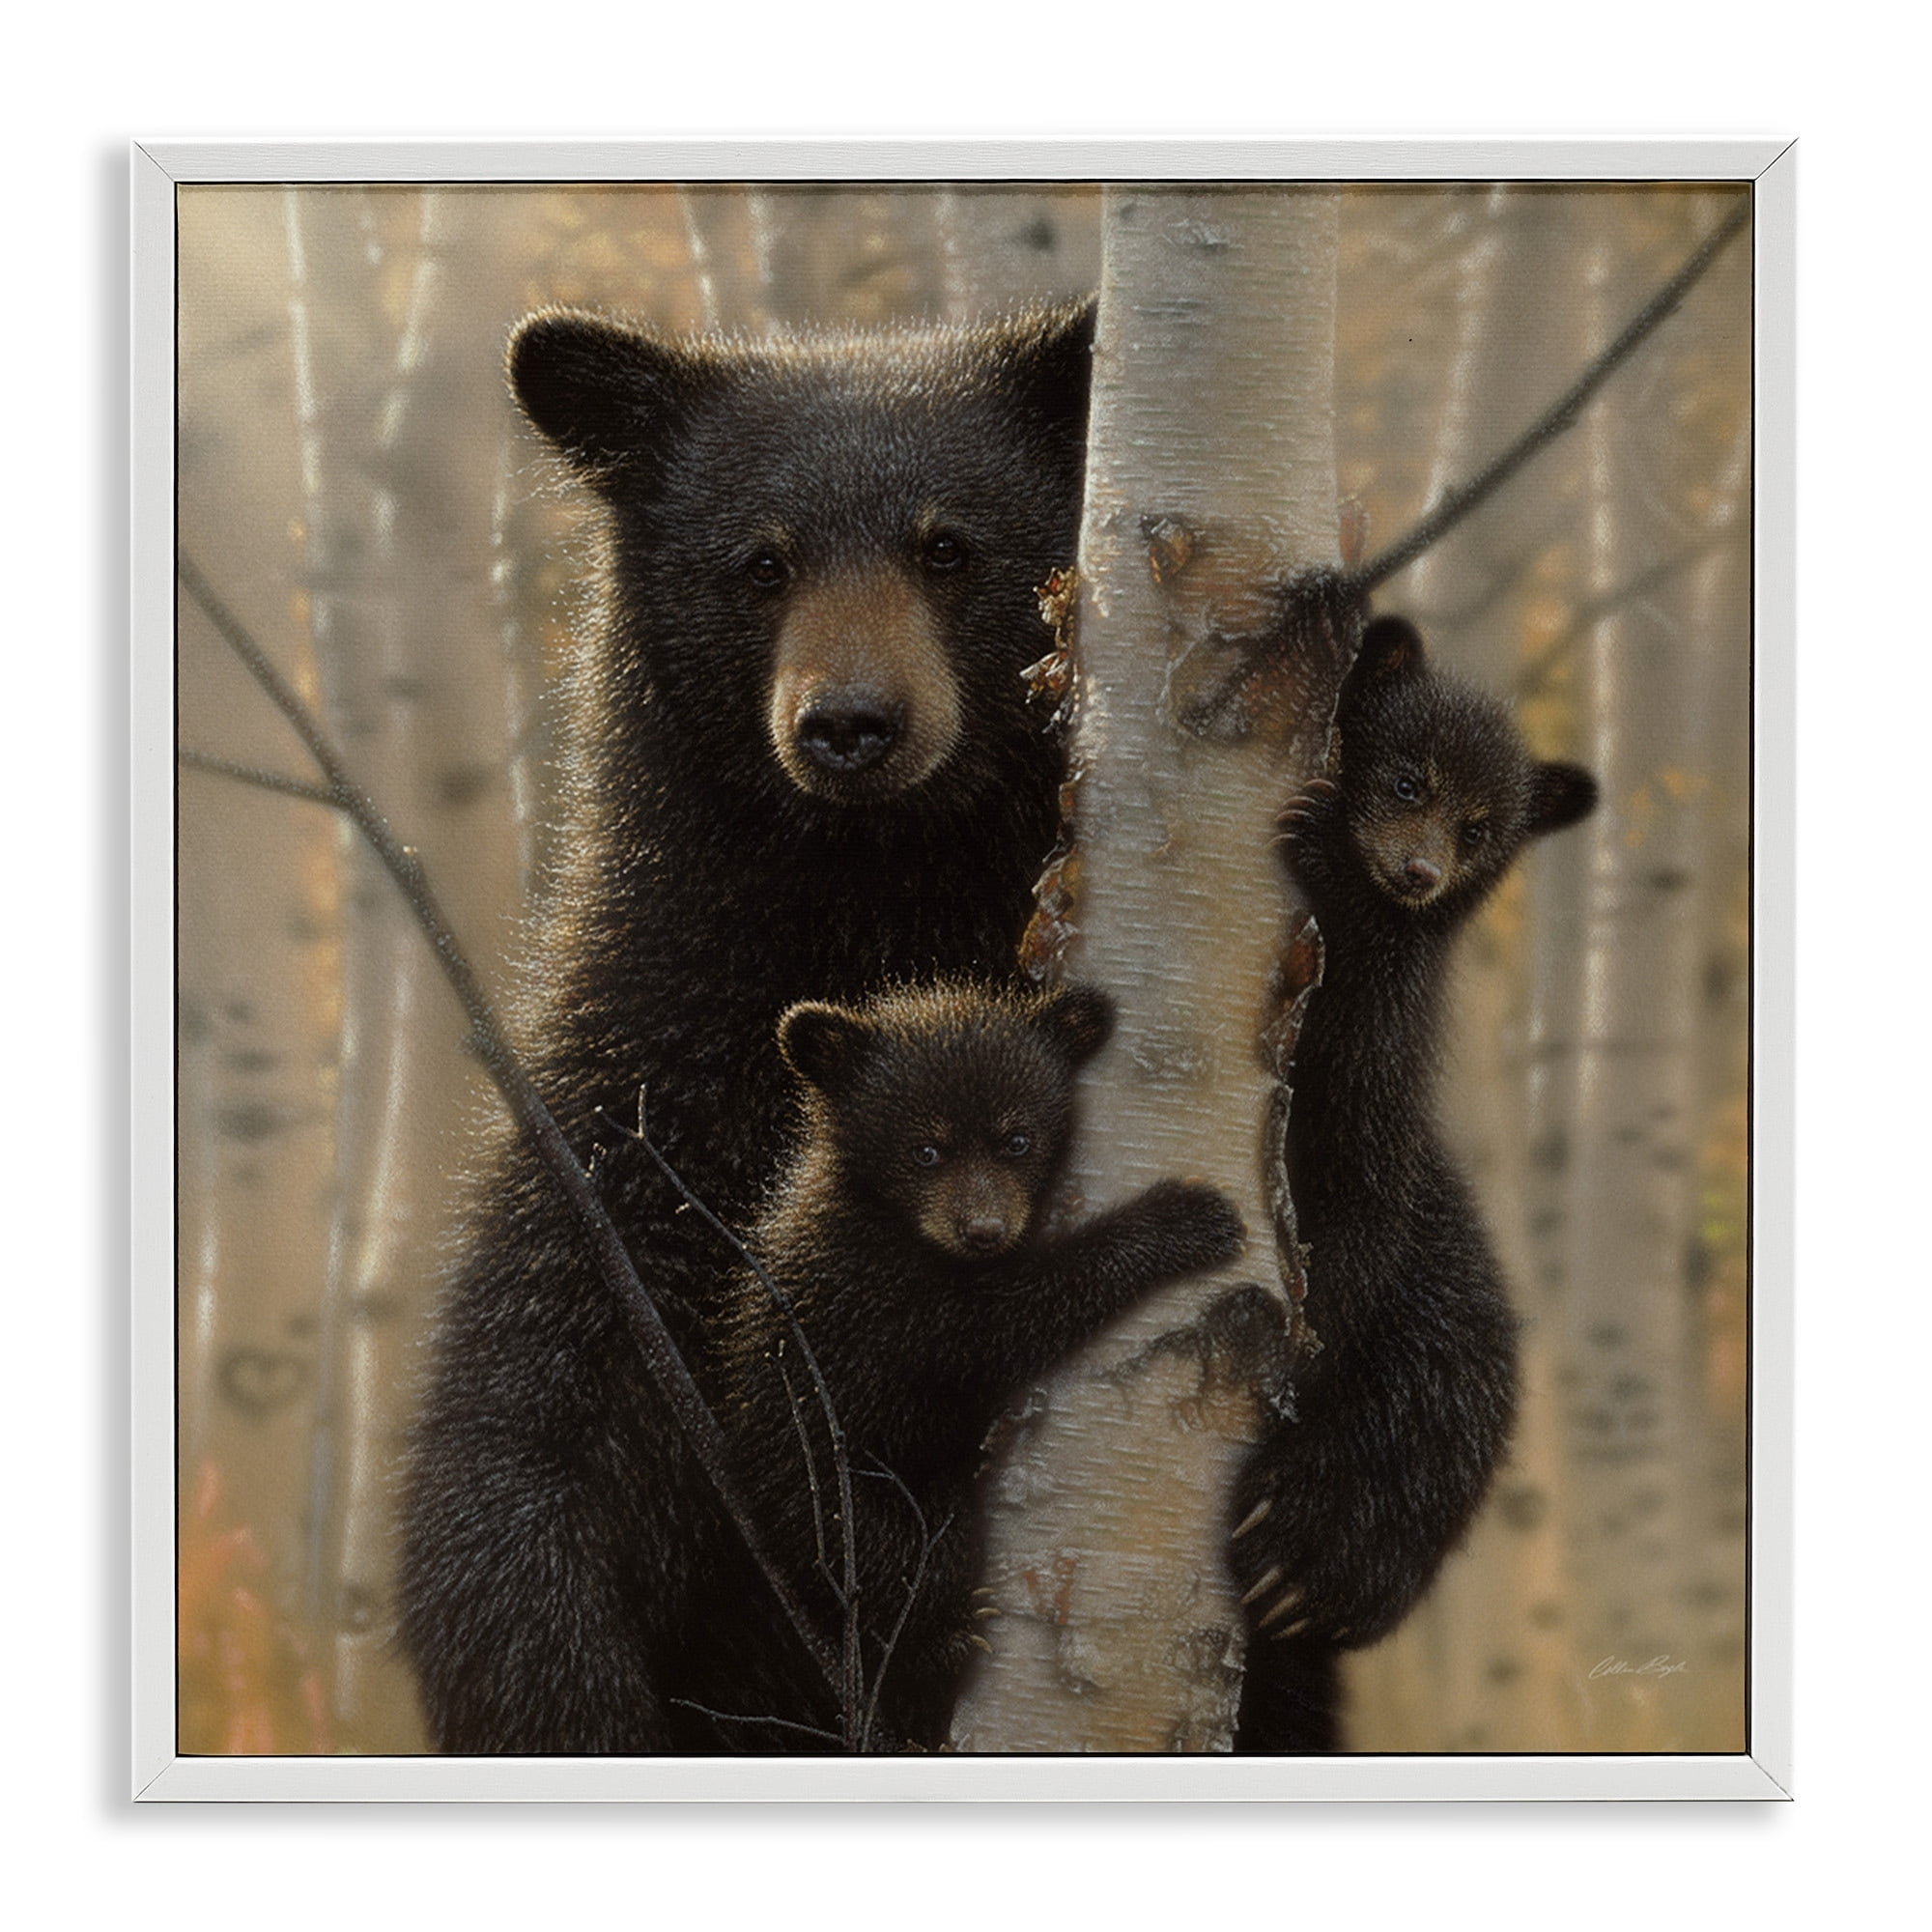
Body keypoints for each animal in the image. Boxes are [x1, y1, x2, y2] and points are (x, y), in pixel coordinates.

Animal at [396, 301, 1096, 1754]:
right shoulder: (642, 1111)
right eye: (759, 564)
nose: (851, 724)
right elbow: (524, 1434)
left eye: (949, 546)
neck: (871, 910)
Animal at [703, 979, 1248, 1752]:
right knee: (897, 1556)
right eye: (925, 1150)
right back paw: (941, 1643)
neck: (889, 1218)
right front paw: (1186, 1217)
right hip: (830, 1493)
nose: (984, 1230)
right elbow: (1002, 1323)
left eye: (1016, 1139)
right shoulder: (880, 1294)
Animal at [1229, 613, 1598, 1754]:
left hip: (1451, 1337)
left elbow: (1354, 1208)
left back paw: (1302, 1559)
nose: (1418, 871)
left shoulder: (1375, 1073)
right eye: (1404, 778)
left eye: (1480, 826)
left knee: (1429, 1422)